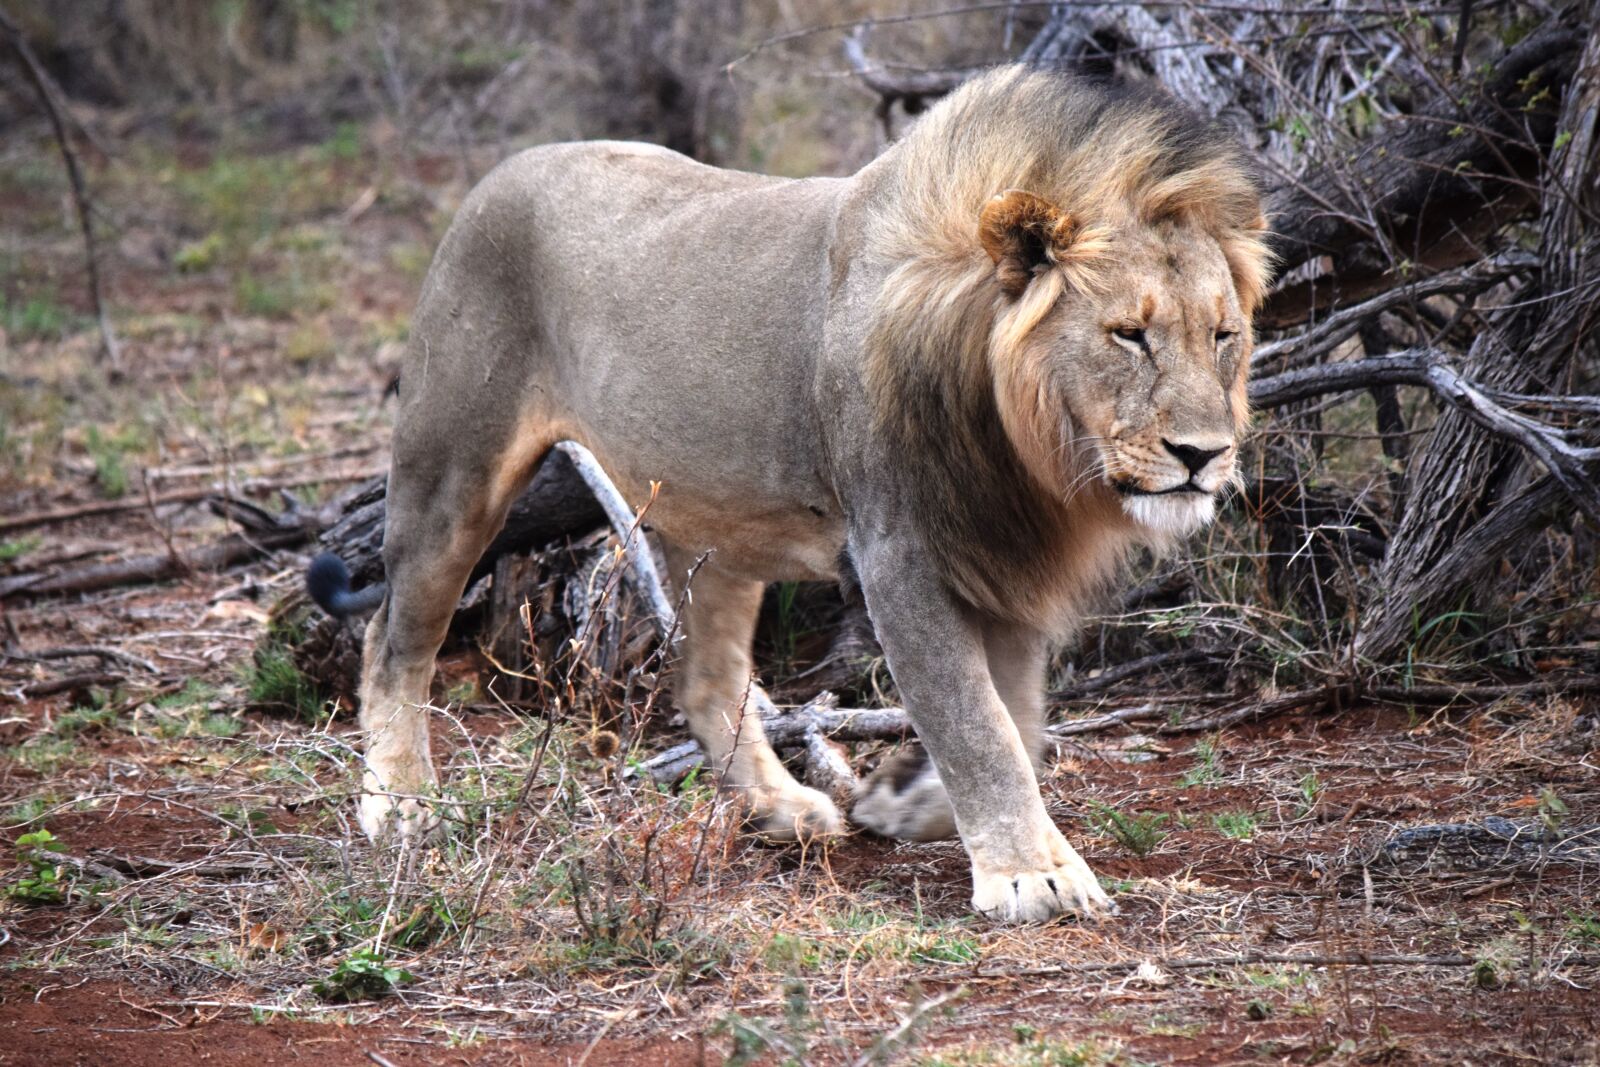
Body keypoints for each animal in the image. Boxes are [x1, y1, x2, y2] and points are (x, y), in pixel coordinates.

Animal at [306, 67, 1270, 923]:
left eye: (1223, 335)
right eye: (1129, 334)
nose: (1203, 454)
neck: (1019, 440)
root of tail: (497, 175)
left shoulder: (1003, 555)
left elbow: (1019, 716)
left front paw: (914, 800)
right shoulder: (898, 556)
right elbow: (977, 721)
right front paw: (1032, 876)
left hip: (715, 528)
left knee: (704, 679)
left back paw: (780, 806)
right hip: (453, 467)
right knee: (392, 637)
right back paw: (400, 804)